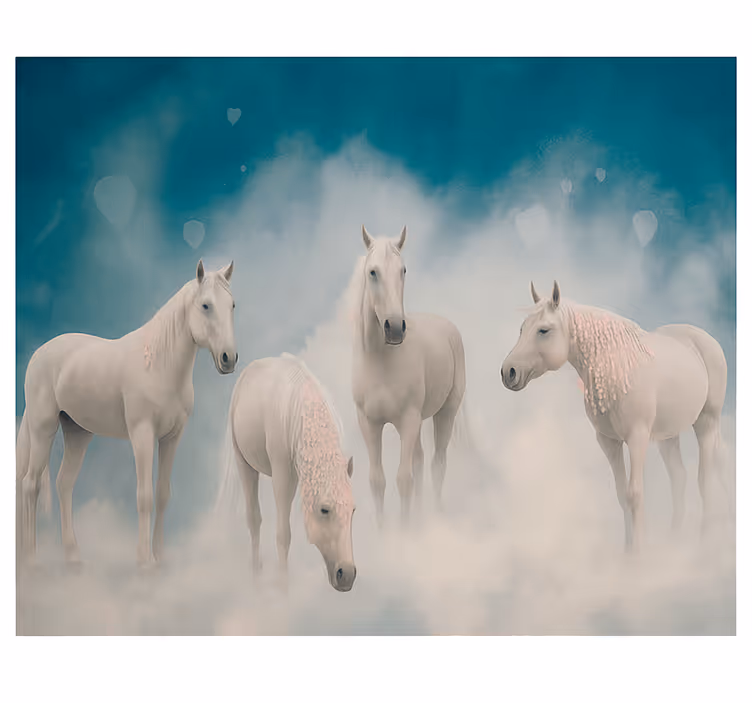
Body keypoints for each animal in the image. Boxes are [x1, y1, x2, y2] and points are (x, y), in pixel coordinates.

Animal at [16, 260, 237, 567]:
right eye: (205, 305)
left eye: (232, 305)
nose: (229, 358)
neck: (158, 364)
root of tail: (39, 355)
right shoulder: (142, 434)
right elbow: (144, 496)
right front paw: (144, 561)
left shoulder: (171, 437)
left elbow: (163, 494)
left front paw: (160, 557)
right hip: (43, 429)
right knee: (30, 484)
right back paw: (31, 559)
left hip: (77, 433)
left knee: (64, 484)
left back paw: (73, 557)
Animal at [220, 353, 356, 592]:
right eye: (324, 510)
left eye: (353, 511)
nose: (347, 575)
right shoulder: (283, 476)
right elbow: (283, 535)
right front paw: (284, 588)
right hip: (243, 462)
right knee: (253, 520)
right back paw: (255, 576)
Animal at [351, 225, 466, 523]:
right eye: (373, 272)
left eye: (403, 270)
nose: (394, 328)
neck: (382, 363)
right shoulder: (369, 423)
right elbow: (378, 481)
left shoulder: (408, 419)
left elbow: (404, 480)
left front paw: (405, 532)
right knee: (420, 461)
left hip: (445, 412)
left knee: (437, 464)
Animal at [500, 280, 730, 552]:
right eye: (523, 328)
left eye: (543, 330)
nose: (508, 372)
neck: (615, 369)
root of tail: (705, 339)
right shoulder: (609, 441)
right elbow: (622, 496)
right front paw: (627, 552)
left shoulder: (637, 437)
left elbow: (635, 494)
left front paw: (638, 553)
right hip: (668, 435)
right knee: (679, 478)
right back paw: (673, 542)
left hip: (707, 422)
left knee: (704, 480)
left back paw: (705, 544)